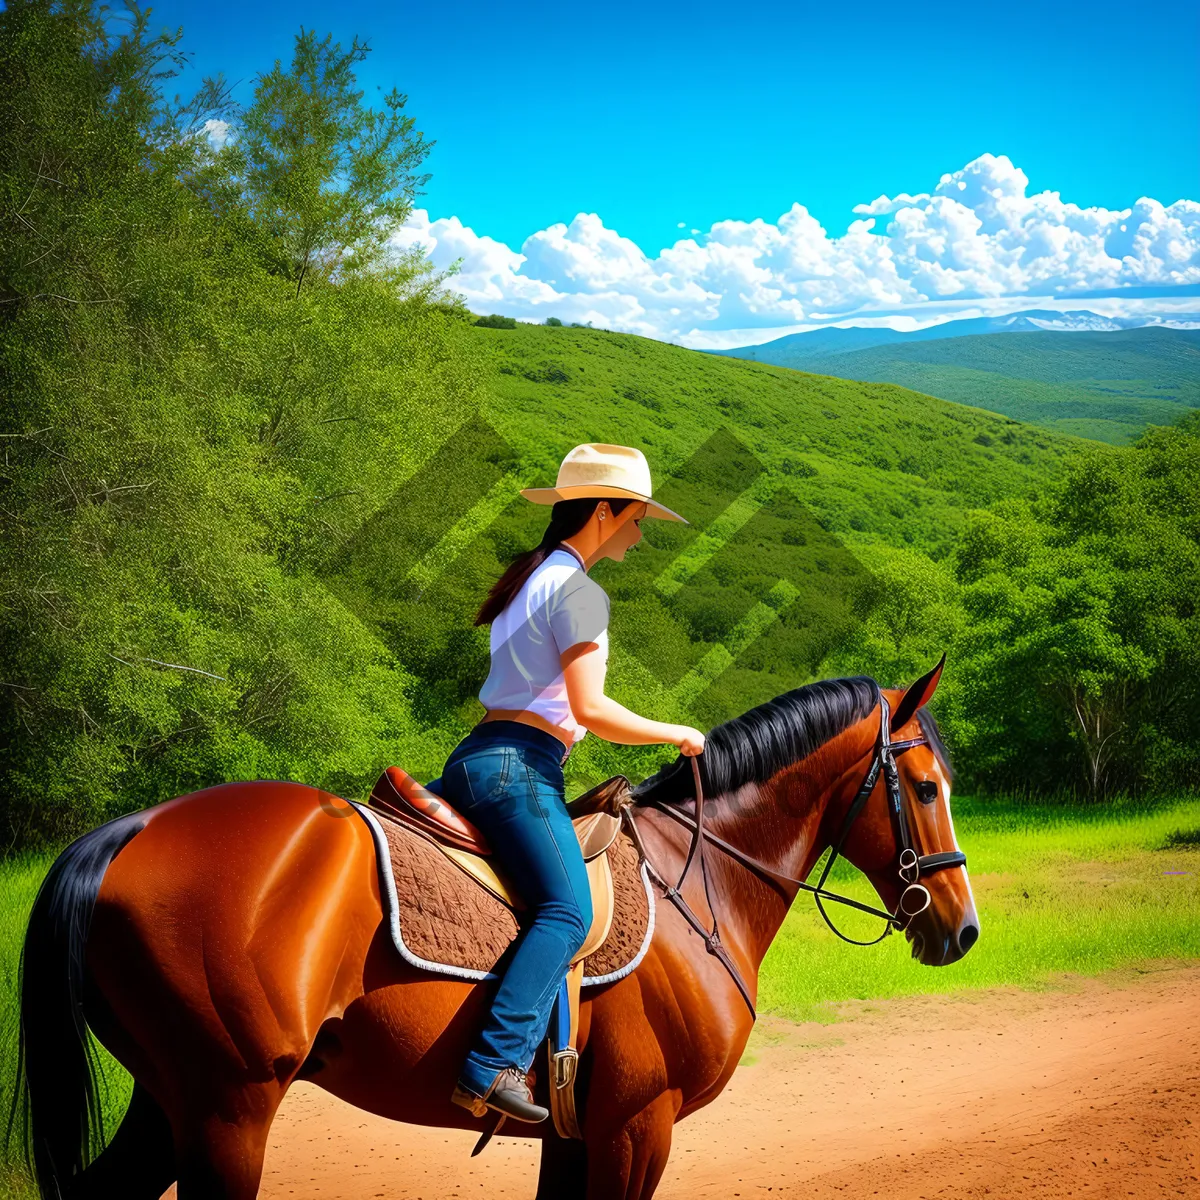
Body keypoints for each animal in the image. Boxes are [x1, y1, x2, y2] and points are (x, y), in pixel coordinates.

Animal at [11, 662, 974, 1195]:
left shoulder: (579, 1136)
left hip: (171, 1101)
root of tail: (133, 829)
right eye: (927, 788)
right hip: (229, 1108)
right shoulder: (638, 1127)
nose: (961, 929)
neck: (700, 881)